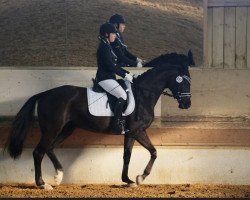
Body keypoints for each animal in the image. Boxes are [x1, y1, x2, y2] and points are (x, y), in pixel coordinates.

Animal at [3, 58, 191, 190]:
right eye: (184, 82)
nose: (187, 104)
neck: (143, 95)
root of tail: (45, 93)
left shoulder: (137, 132)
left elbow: (149, 152)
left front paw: (135, 178)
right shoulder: (134, 131)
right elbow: (133, 154)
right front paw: (135, 178)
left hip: (67, 129)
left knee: (50, 149)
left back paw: (59, 176)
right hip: (52, 129)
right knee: (38, 152)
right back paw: (43, 184)